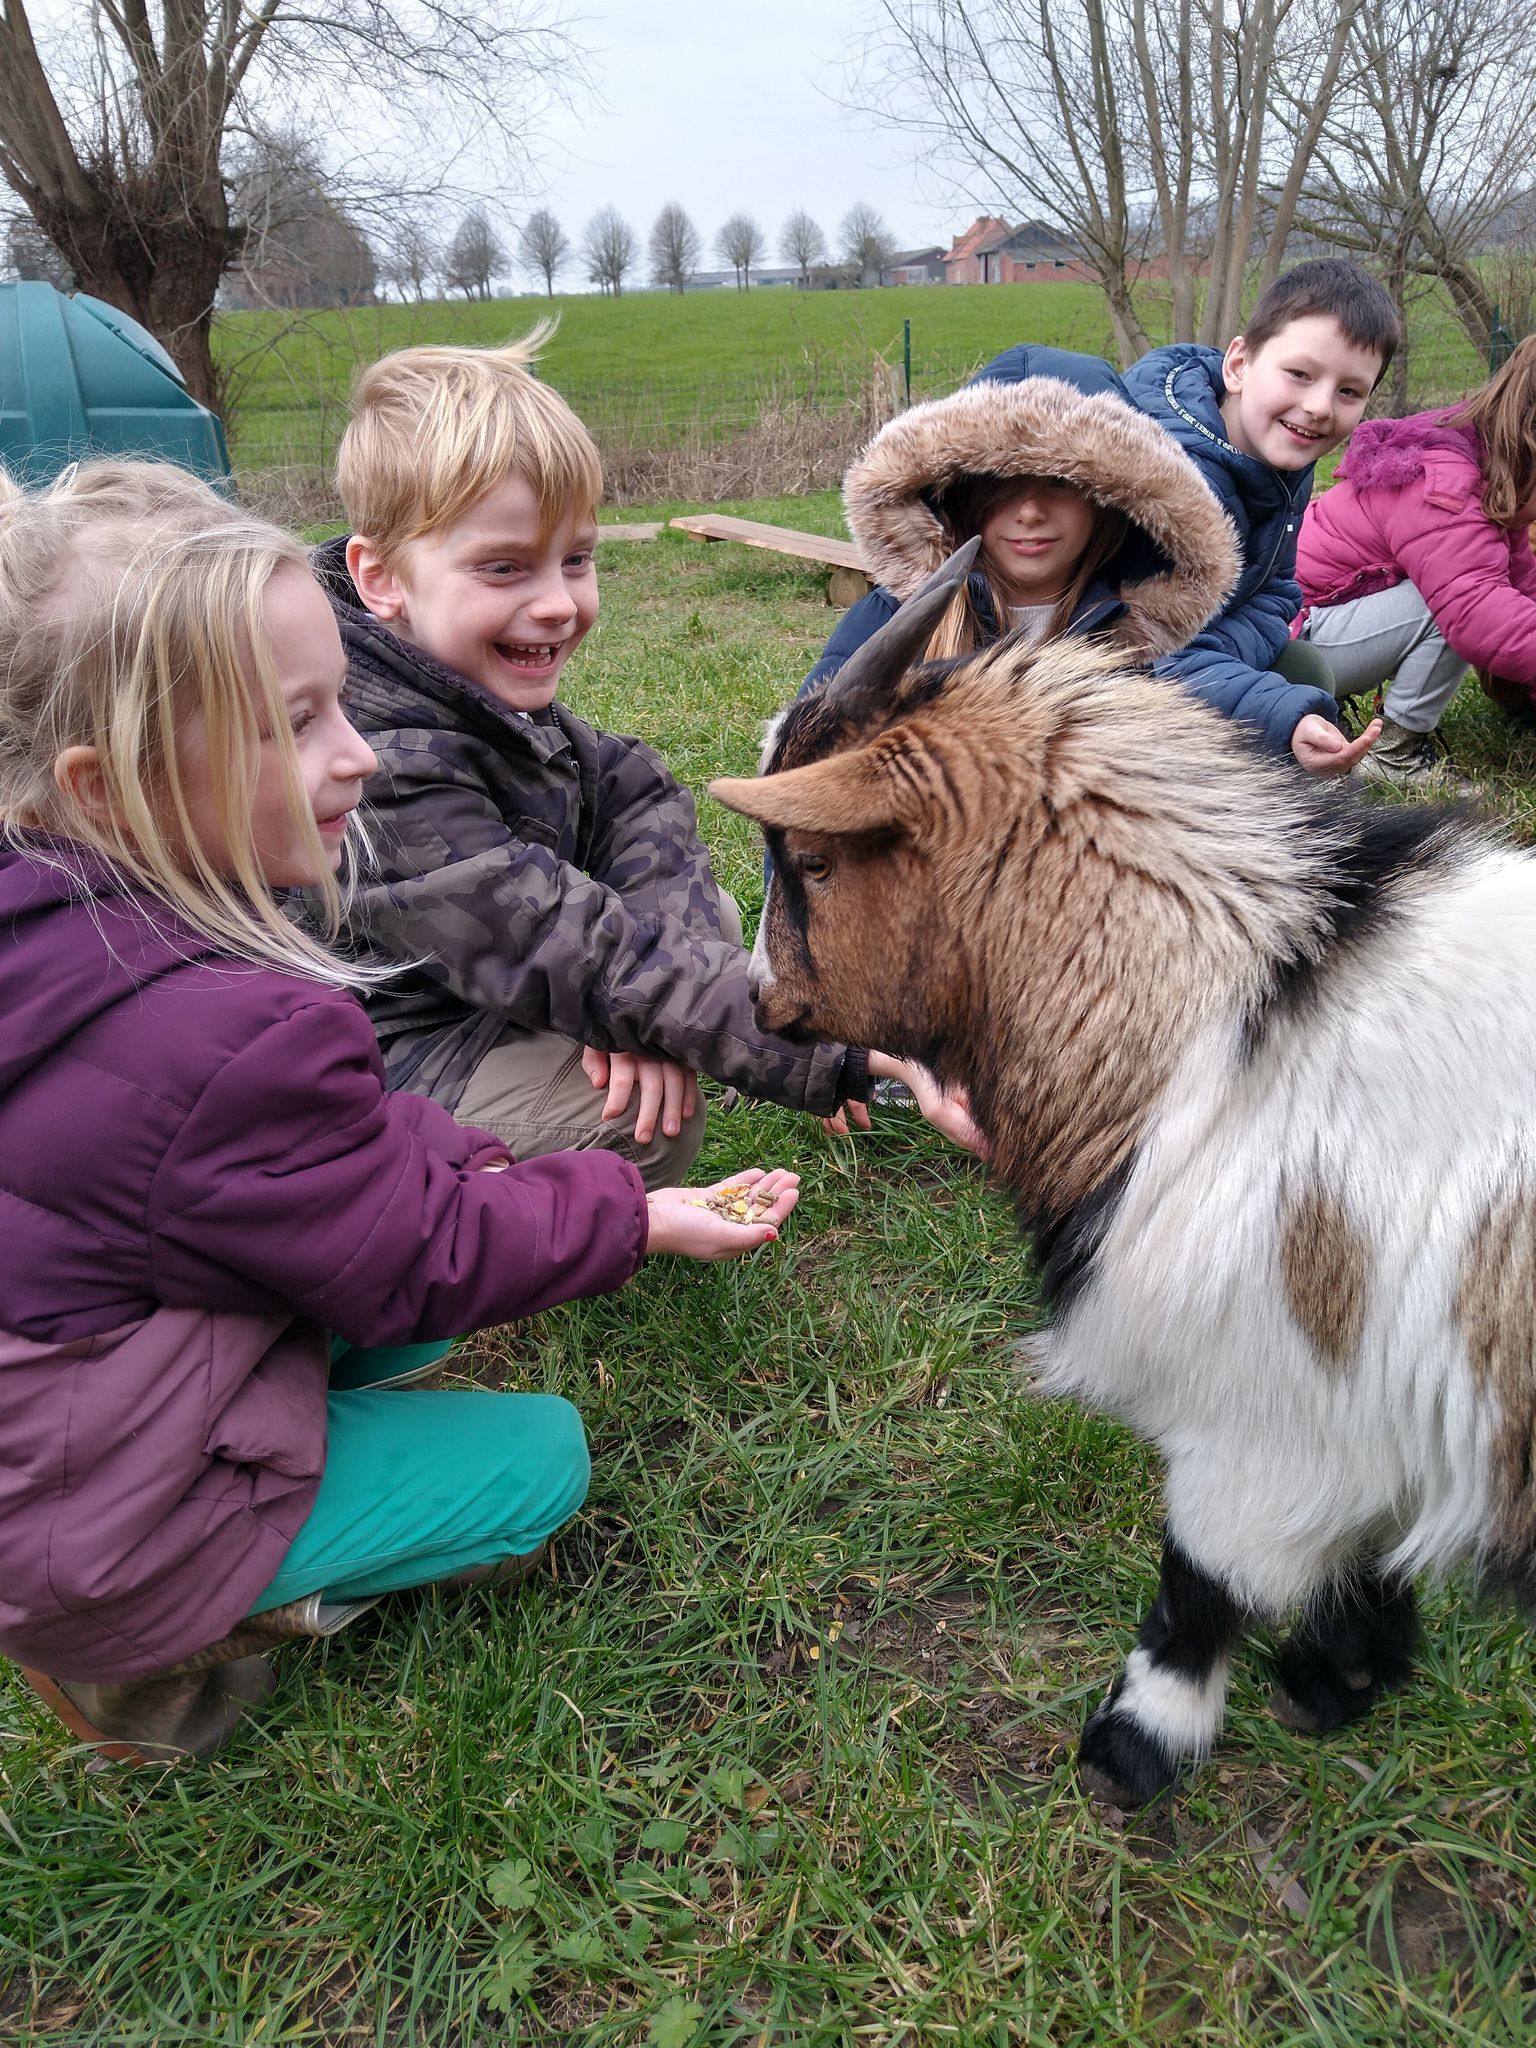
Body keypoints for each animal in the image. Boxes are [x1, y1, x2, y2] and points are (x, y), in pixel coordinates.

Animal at [720, 544, 1536, 1810]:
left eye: (809, 856)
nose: (762, 1002)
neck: (1232, 1020)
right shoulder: (1375, 1399)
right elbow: (1369, 1558)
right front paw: (1339, 1677)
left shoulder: (1263, 1412)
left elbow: (1198, 1584)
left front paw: (1135, 1744)